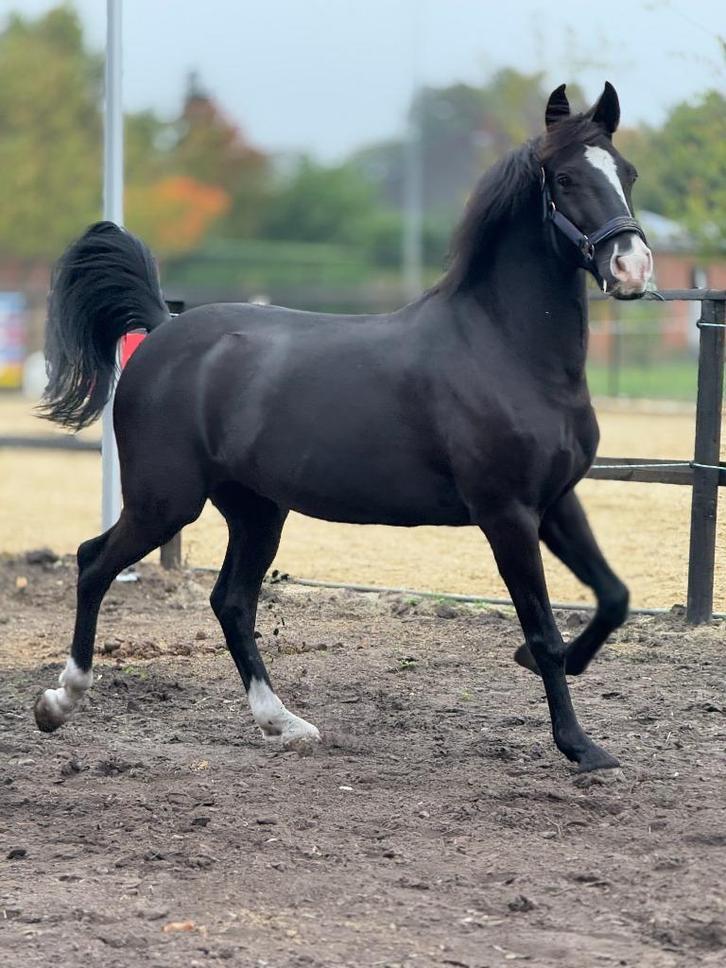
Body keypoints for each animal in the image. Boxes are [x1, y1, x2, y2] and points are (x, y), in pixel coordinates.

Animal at [35, 82, 652, 772]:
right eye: (566, 178)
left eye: (626, 173)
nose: (632, 268)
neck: (505, 350)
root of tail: (163, 330)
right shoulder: (507, 513)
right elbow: (542, 630)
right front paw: (580, 745)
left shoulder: (557, 501)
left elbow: (614, 597)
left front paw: (567, 677)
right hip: (165, 502)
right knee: (94, 563)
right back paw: (59, 702)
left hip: (256, 509)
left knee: (231, 601)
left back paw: (283, 723)